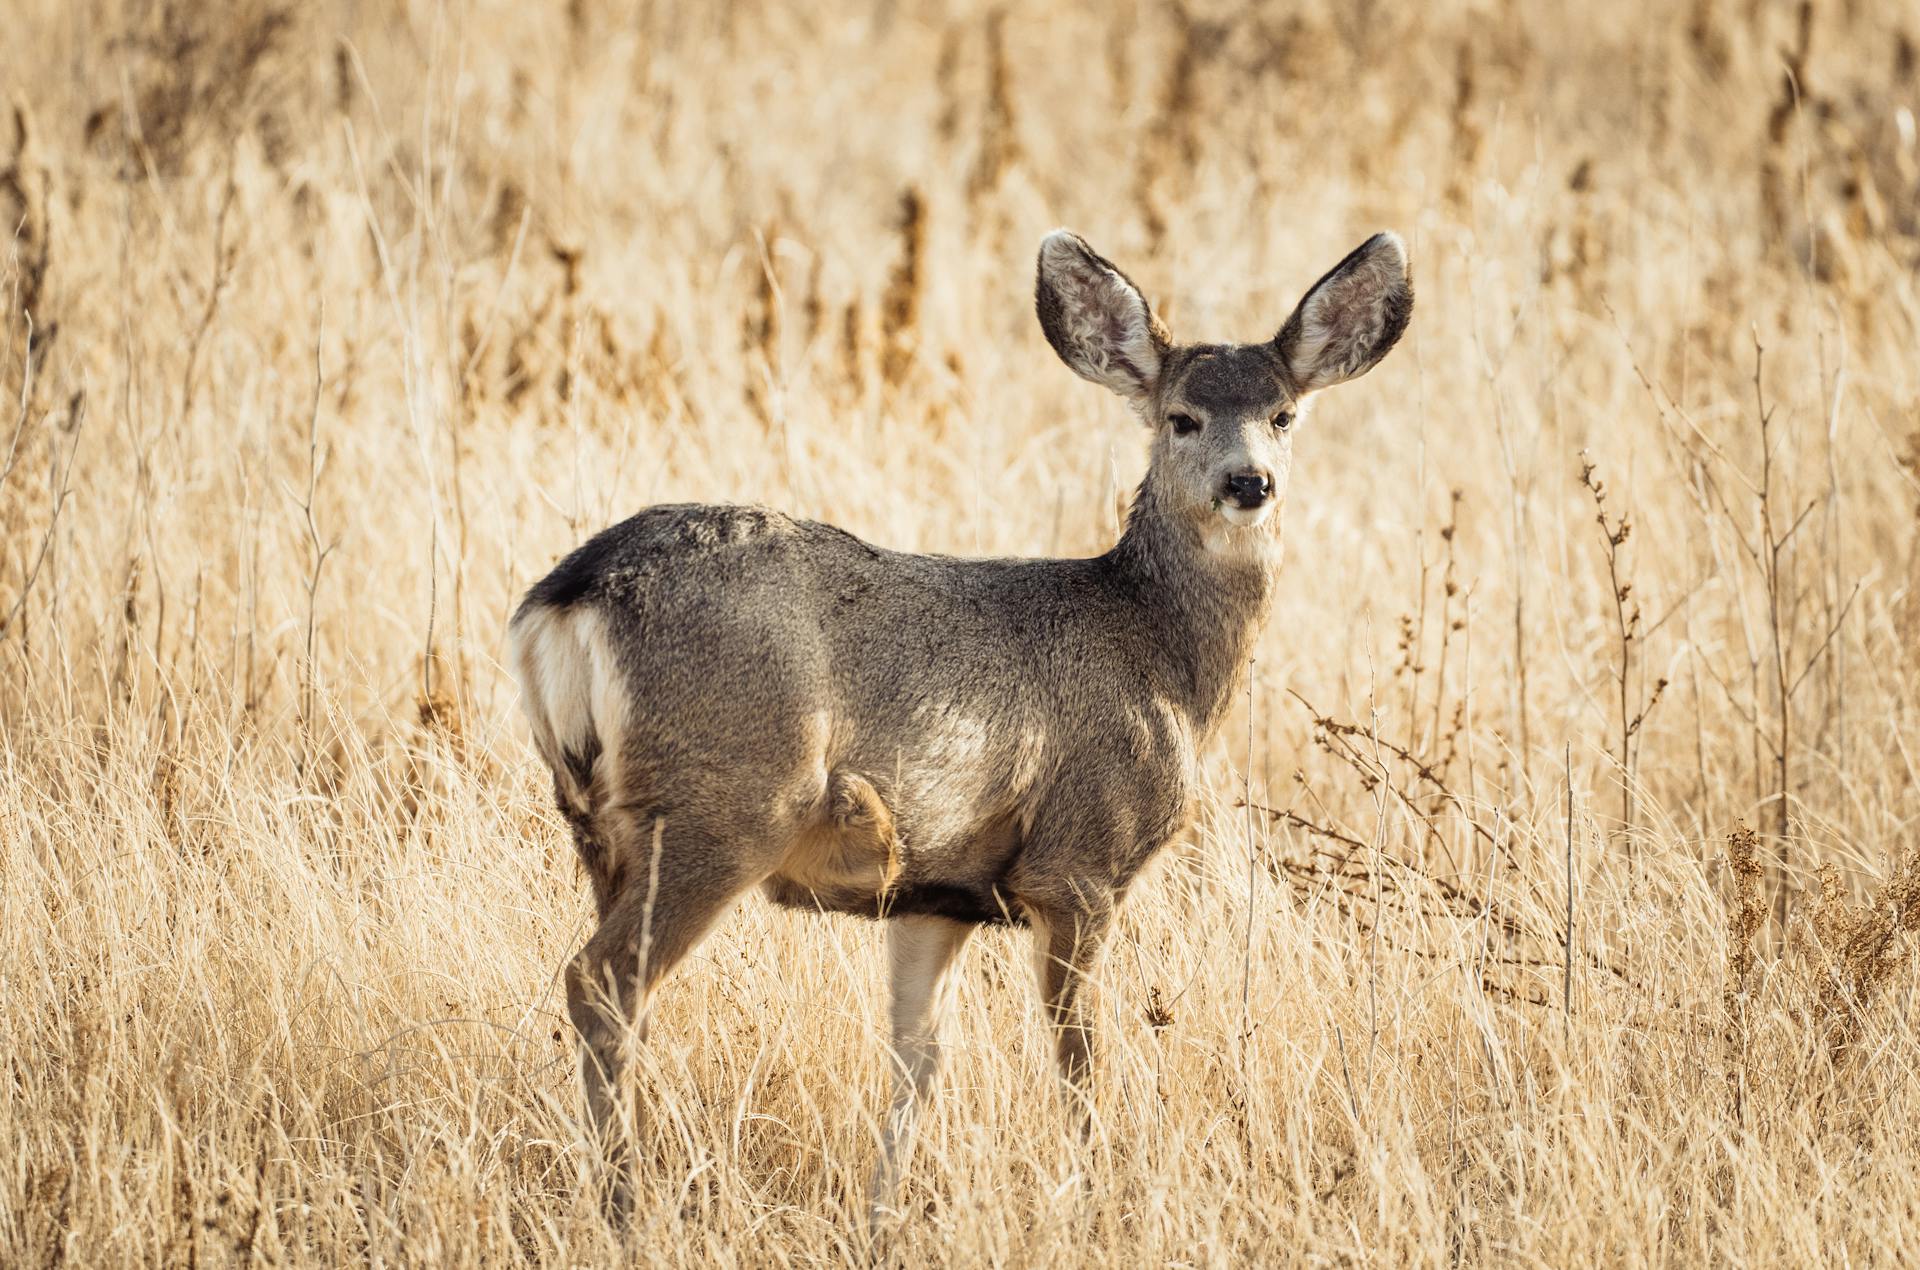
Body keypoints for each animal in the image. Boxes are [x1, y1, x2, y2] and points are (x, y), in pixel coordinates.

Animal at [510, 227, 1413, 1221]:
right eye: (1180, 417)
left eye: (1284, 414)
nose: (1248, 482)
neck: (1159, 656)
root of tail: (568, 597)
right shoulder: (1079, 861)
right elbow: (1078, 1061)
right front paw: (1097, 1199)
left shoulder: (935, 896)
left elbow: (917, 1061)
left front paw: (881, 1218)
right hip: (726, 802)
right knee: (600, 982)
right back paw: (625, 1208)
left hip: (596, 825)